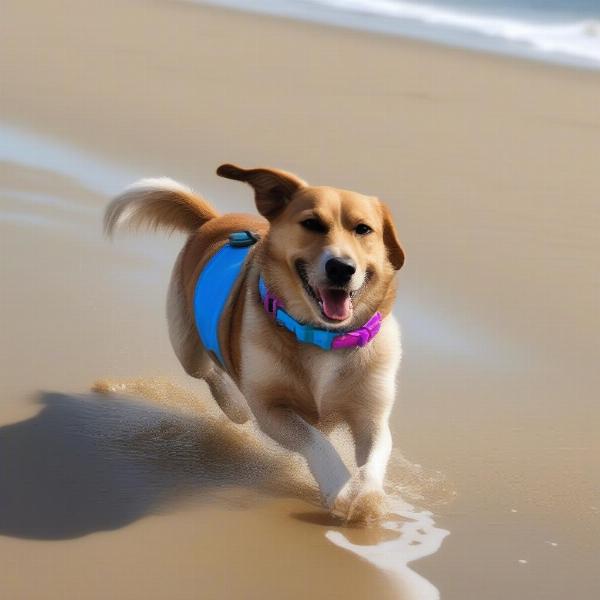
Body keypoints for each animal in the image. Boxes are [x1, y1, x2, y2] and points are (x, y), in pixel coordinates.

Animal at [104, 165, 404, 524]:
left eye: (363, 230)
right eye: (312, 223)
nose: (342, 268)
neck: (322, 337)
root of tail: (211, 221)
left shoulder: (371, 416)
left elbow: (374, 456)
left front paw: (365, 497)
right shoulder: (271, 409)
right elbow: (315, 440)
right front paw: (339, 486)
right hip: (186, 344)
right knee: (209, 373)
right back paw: (234, 403)